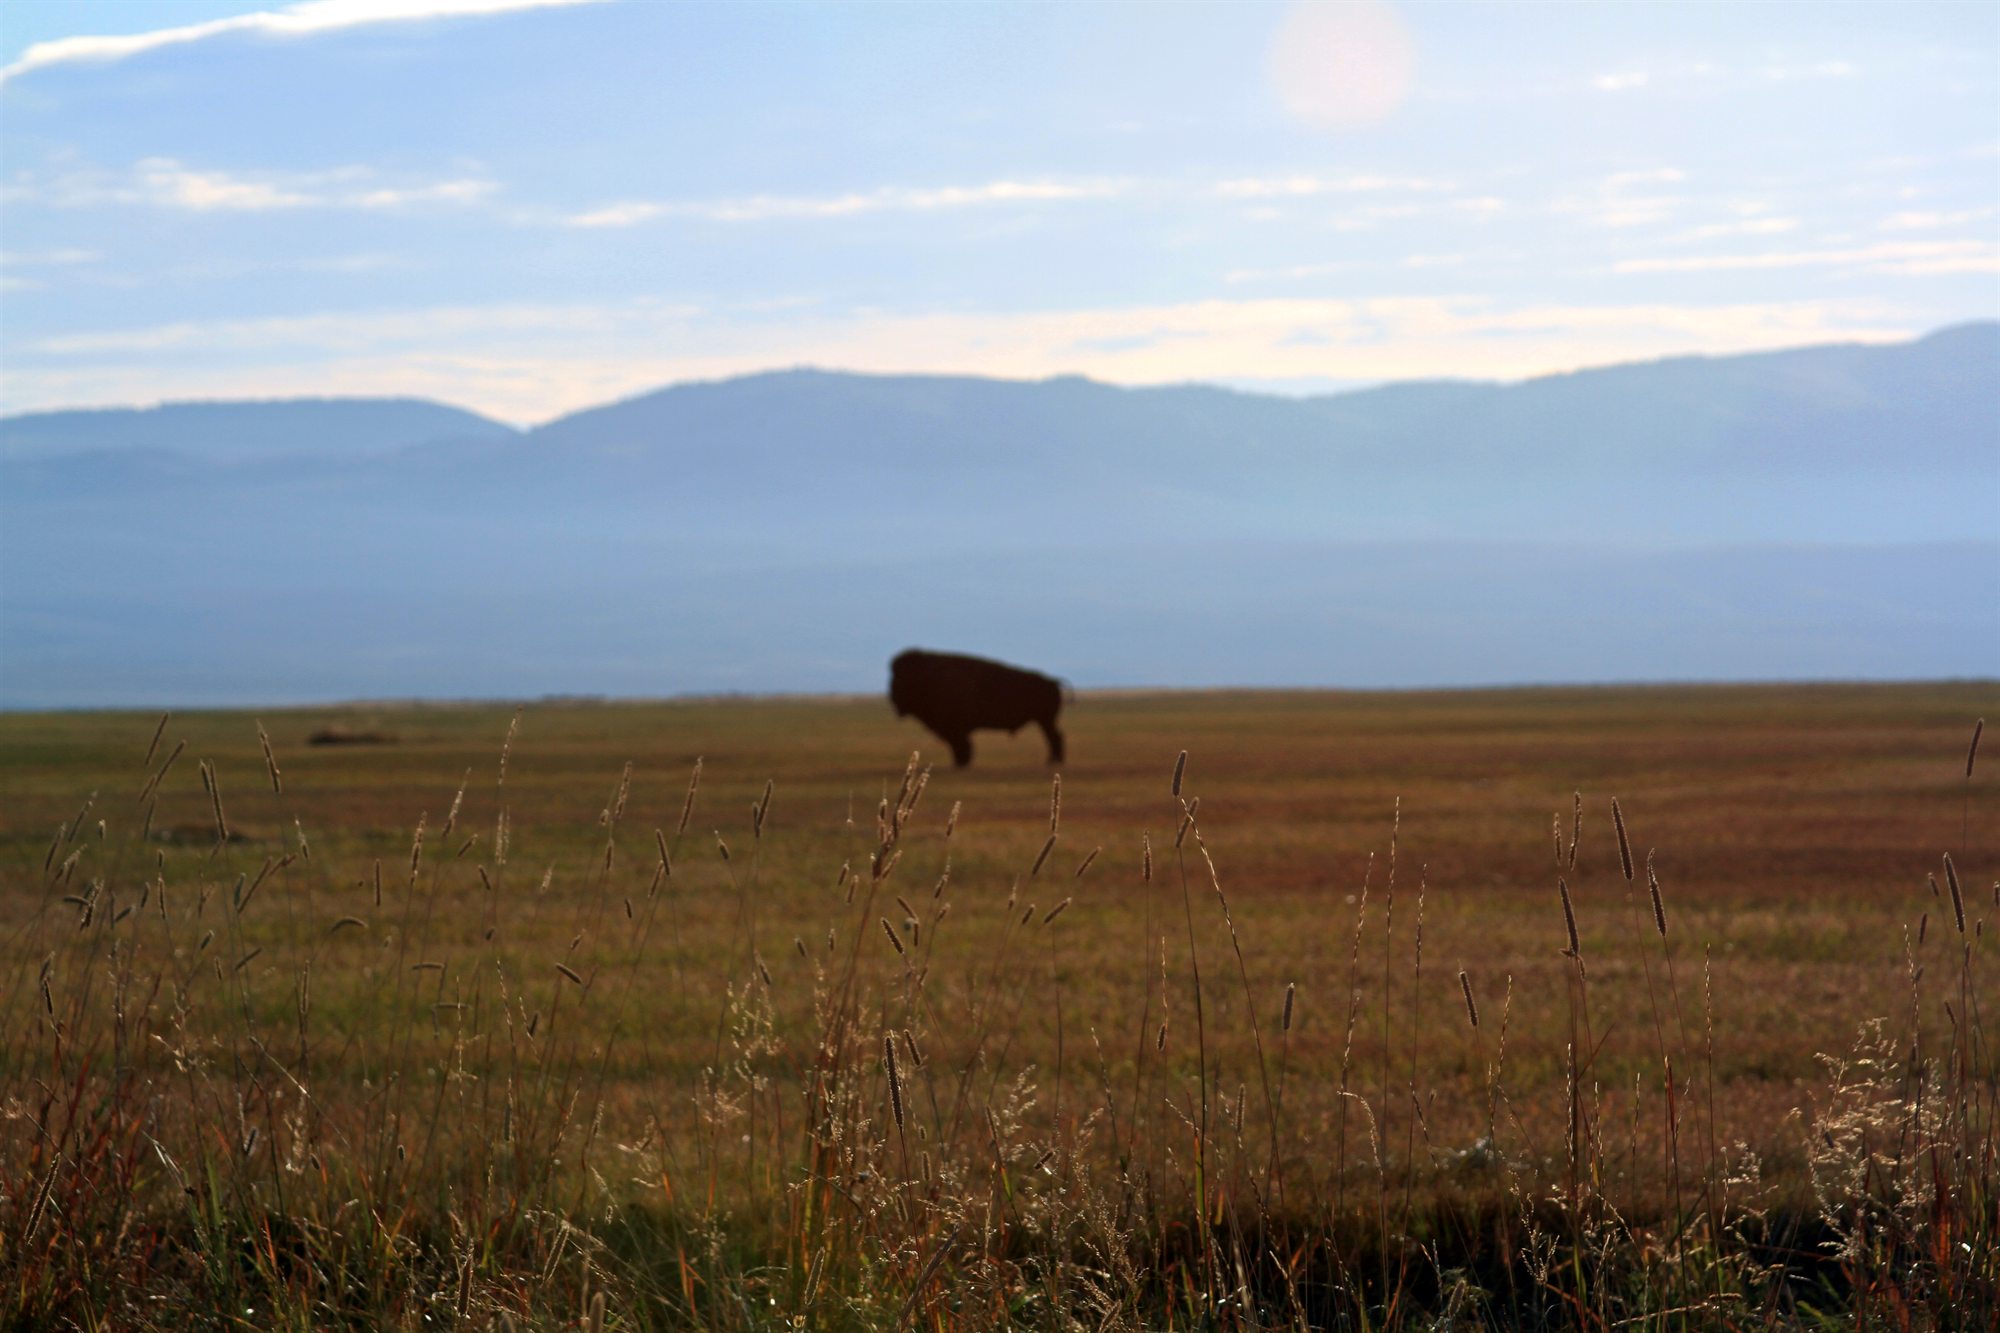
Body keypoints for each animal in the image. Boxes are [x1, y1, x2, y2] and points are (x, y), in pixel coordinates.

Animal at [888, 648, 1066, 769]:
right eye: (894, 679)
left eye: (902, 680)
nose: (892, 696)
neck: (927, 678)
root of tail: (1052, 681)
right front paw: (960, 762)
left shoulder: (956, 729)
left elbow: (962, 745)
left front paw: (961, 762)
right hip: (1045, 720)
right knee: (1054, 737)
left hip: (1045, 720)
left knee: (1054, 738)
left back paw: (1052, 761)